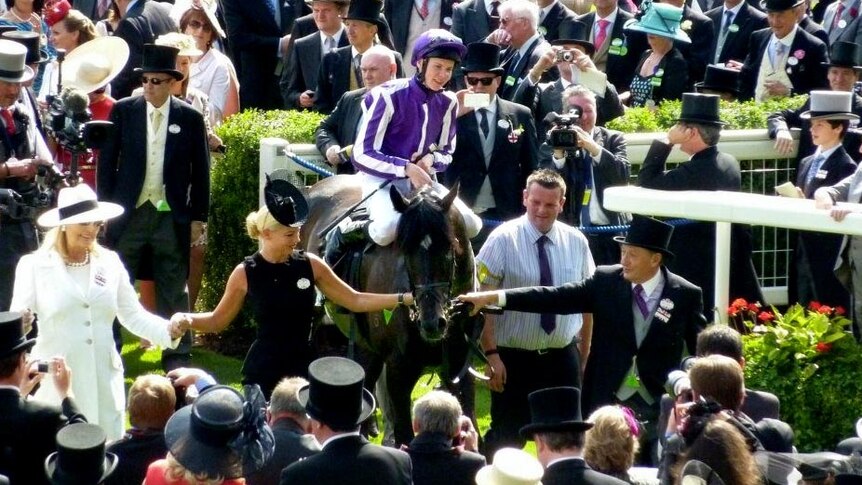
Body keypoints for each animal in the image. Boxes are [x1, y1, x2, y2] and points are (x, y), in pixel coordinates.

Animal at [302, 175, 480, 446]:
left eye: (448, 249)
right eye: (405, 251)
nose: (431, 323)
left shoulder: (459, 367)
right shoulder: (399, 371)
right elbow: (405, 435)